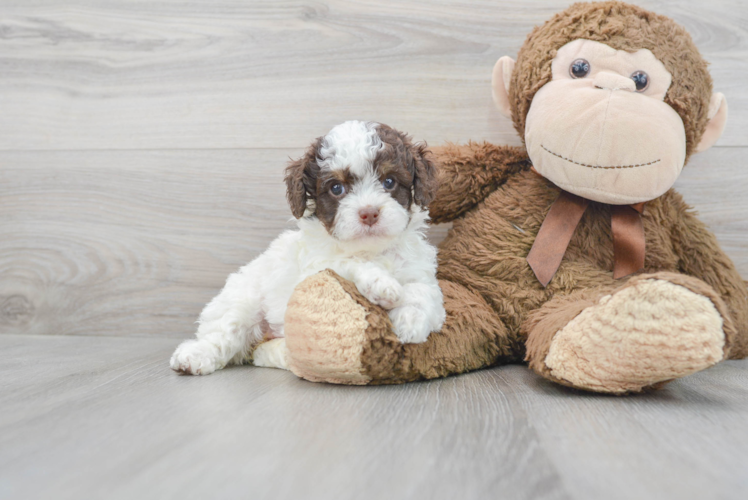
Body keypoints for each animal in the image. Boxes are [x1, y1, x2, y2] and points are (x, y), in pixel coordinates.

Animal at [169, 121, 444, 376]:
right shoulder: (315, 269)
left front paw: (411, 322)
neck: (372, 250)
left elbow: (422, 292)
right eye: (336, 188)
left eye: (389, 182)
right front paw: (381, 284)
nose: (369, 213)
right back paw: (193, 356)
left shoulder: (420, 272)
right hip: (241, 303)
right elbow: (347, 263)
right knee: (221, 333)